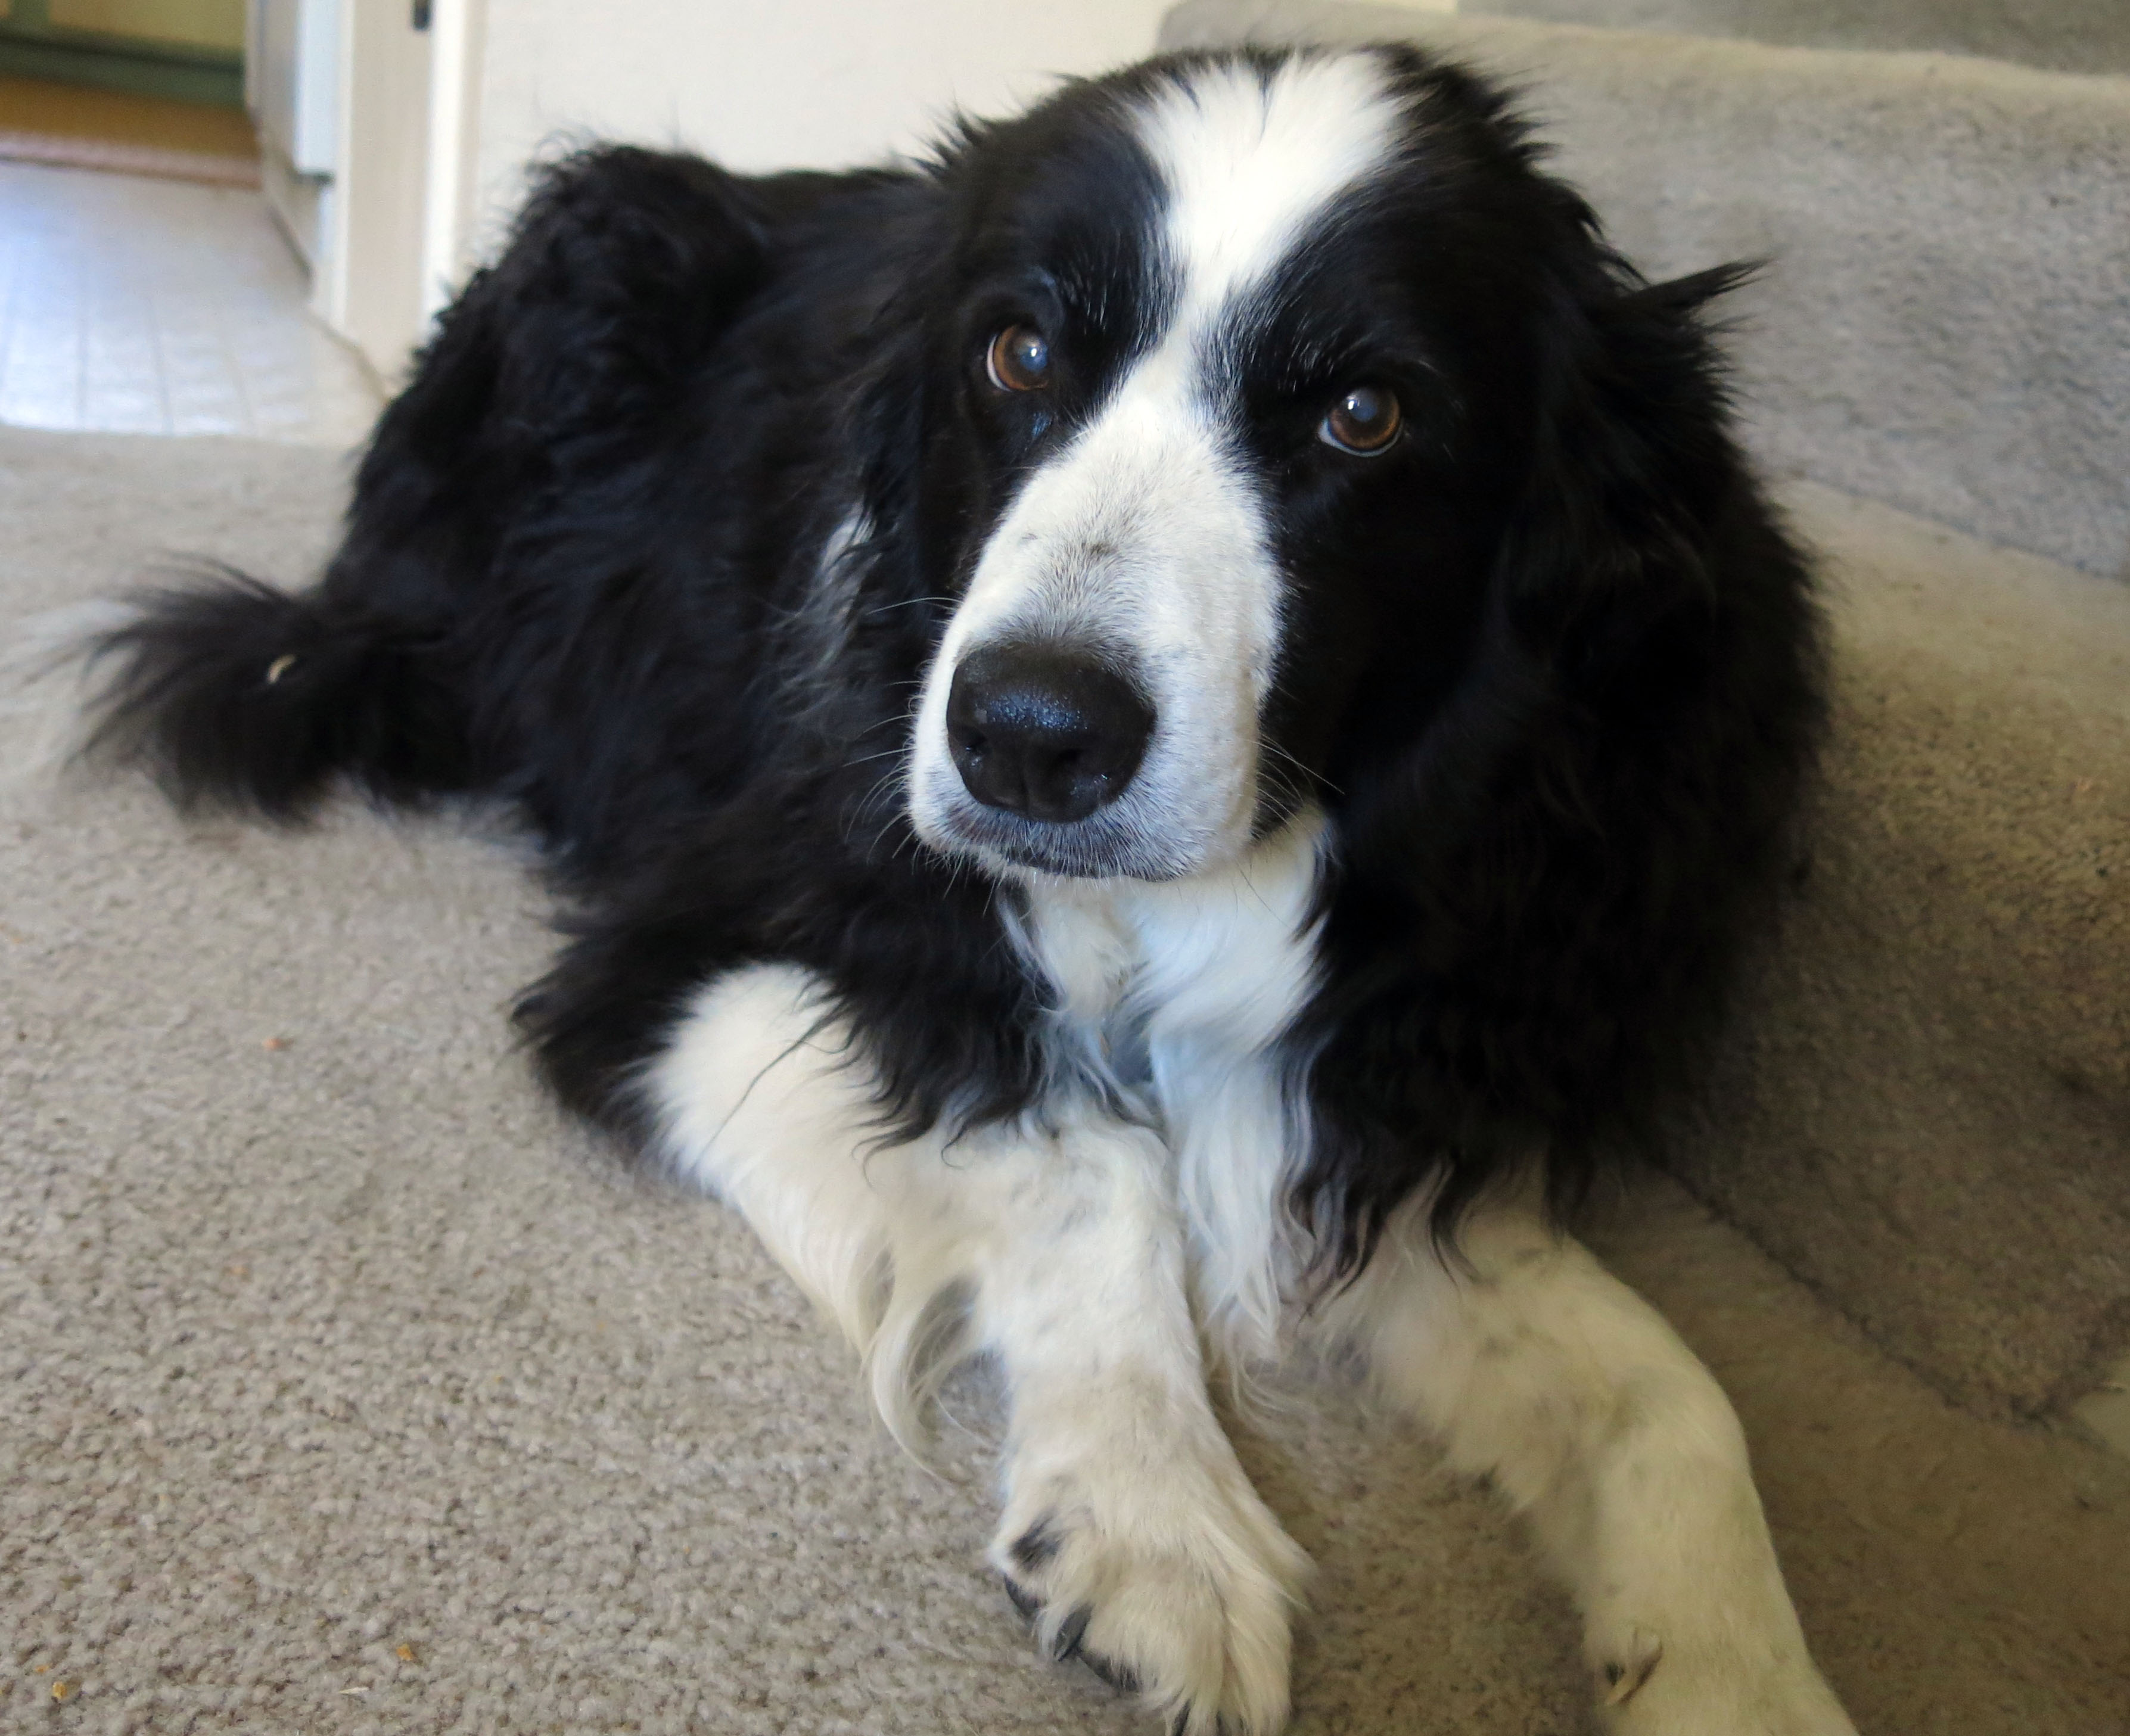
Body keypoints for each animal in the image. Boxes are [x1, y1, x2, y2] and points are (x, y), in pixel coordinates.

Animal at [82, 43, 1856, 1736]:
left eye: (1364, 412)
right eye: (1015, 356)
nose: (1024, 739)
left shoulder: (1380, 1072)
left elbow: (1669, 1398)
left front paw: (1740, 1678)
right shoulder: (698, 947)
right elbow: (1084, 1154)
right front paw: (1152, 1519)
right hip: (596, 254)